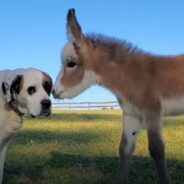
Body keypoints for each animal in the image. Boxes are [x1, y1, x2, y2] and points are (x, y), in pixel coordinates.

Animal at [52, 9, 184, 184]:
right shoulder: (131, 114)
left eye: (71, 64)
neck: (134, 76)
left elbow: (157, 149)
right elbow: (124, 149)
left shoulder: (152, 111)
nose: (53, 91)